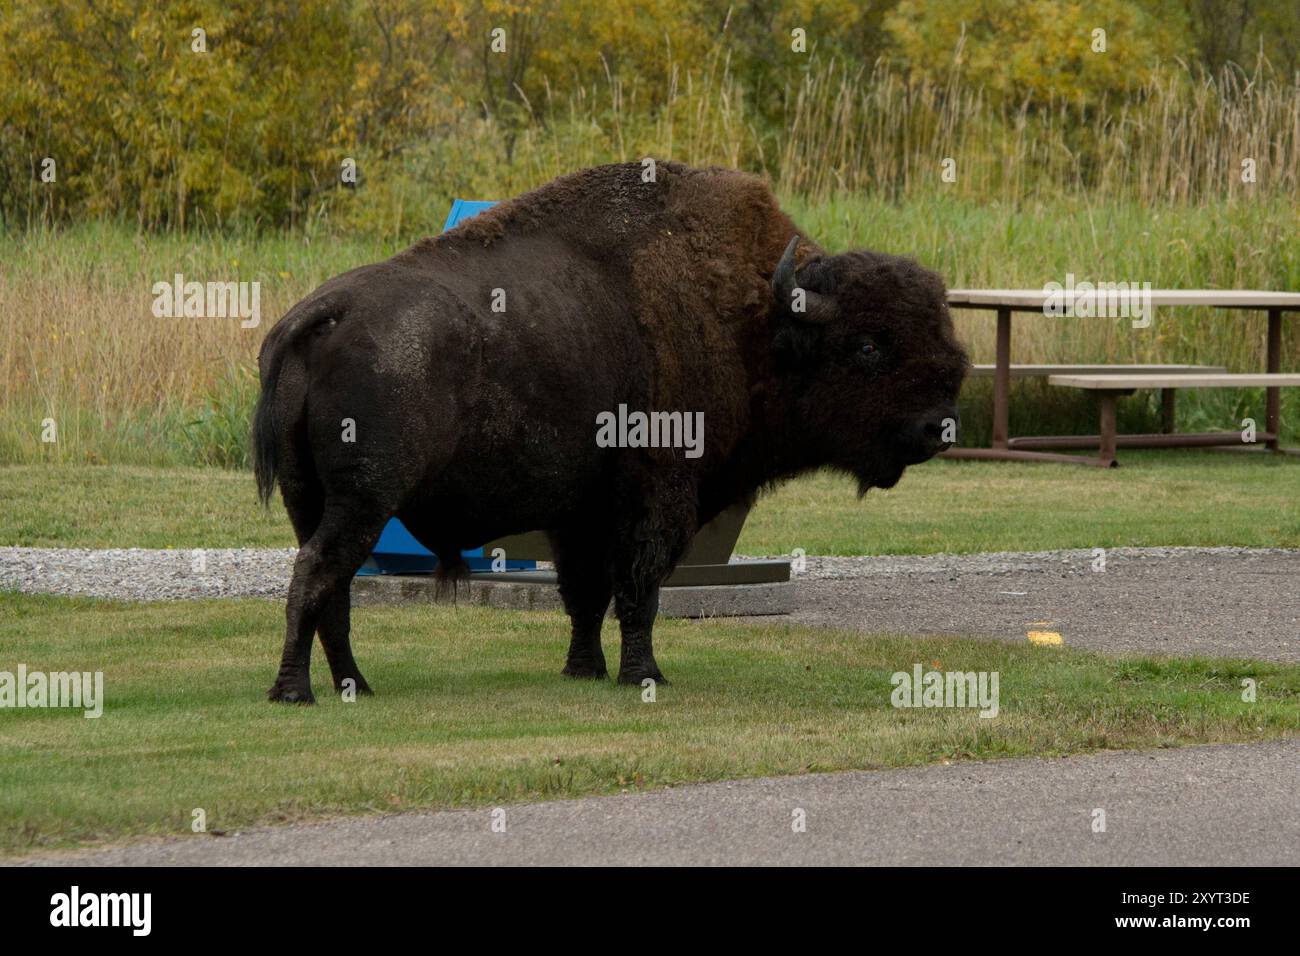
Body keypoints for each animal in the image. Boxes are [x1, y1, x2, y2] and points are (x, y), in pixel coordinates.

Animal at [253, 160, 967, 702]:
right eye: (868, 346)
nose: (940, 426)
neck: (755, 318)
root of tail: (324, 313)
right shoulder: (655, 496)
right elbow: (638, 588)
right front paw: (644, 675)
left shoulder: (581, 513)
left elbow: (585, 592)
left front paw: (584, 670)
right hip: (365, 500)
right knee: (317, 576)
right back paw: (296, 692)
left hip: (312, 499)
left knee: (331, 589)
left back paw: (355, 686)